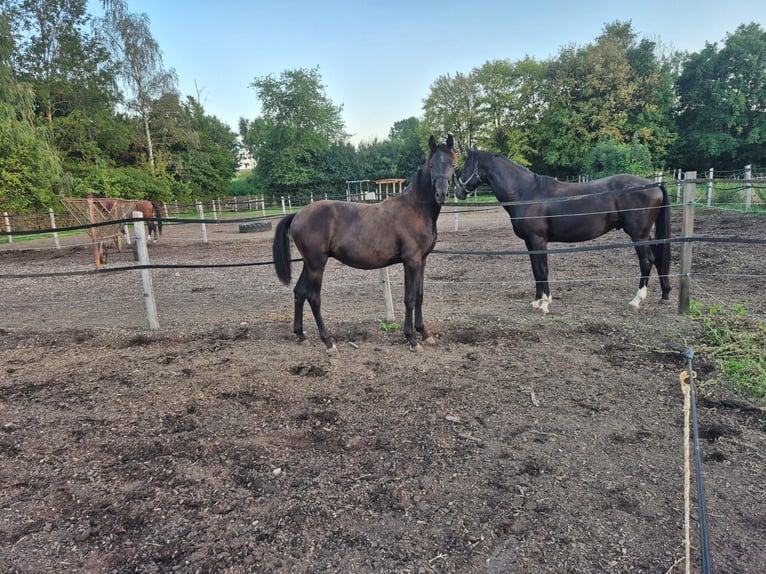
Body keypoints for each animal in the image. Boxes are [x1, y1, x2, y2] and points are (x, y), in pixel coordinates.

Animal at [273, 134, 457, 353]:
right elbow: (409, 298)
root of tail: (298, 214)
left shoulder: (422, 260)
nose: (442, 194)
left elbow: (419, 296)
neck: (415, 210)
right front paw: (412, 339)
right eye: (431, 164)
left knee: (299, 292)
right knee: (313, 297)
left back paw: (301, 335)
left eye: (452, 164)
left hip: (309, 264)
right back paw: (328, 342)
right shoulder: (411, 261)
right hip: (317, 264)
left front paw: (425, 334)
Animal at [456, 149, 671, 314]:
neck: (526, 192)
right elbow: (535, 270)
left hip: (638, 235)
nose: (458, 191)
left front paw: (545, 304)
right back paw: (664, 294)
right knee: (656, 259)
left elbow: (543, 269)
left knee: (646, 261)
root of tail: (654, 185)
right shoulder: (529, 242)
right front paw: (536, 301)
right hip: (644, 234)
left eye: (466, 166)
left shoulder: (539, 240)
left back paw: (636, 301)